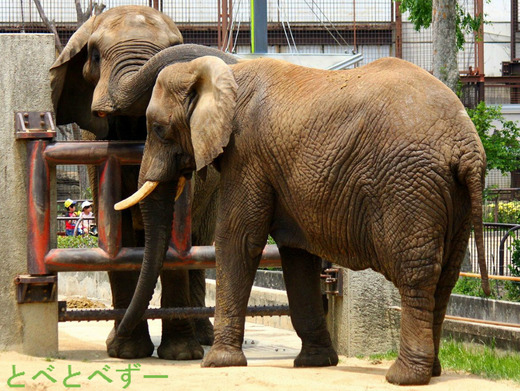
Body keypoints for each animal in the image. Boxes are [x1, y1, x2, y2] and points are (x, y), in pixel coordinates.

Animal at [48, 6, 238, 362]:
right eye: (95, 54)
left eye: (173, 46)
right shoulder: (96, 146)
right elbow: (117, 230)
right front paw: (125, 351)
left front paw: (180, 354)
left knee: (199, 242)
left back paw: (203, 338)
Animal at [118, 55, 492, 386]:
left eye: (159, 129)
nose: (118, 340)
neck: (222, 72)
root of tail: (467, 147)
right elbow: (296, 254)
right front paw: (315, 362)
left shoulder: (247, 154)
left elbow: (238, 241)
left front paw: (217, 363)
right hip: (452, 197)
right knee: (446, 276)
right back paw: (432, 371)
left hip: (408, 187)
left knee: (417, 274)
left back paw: (404, 377)